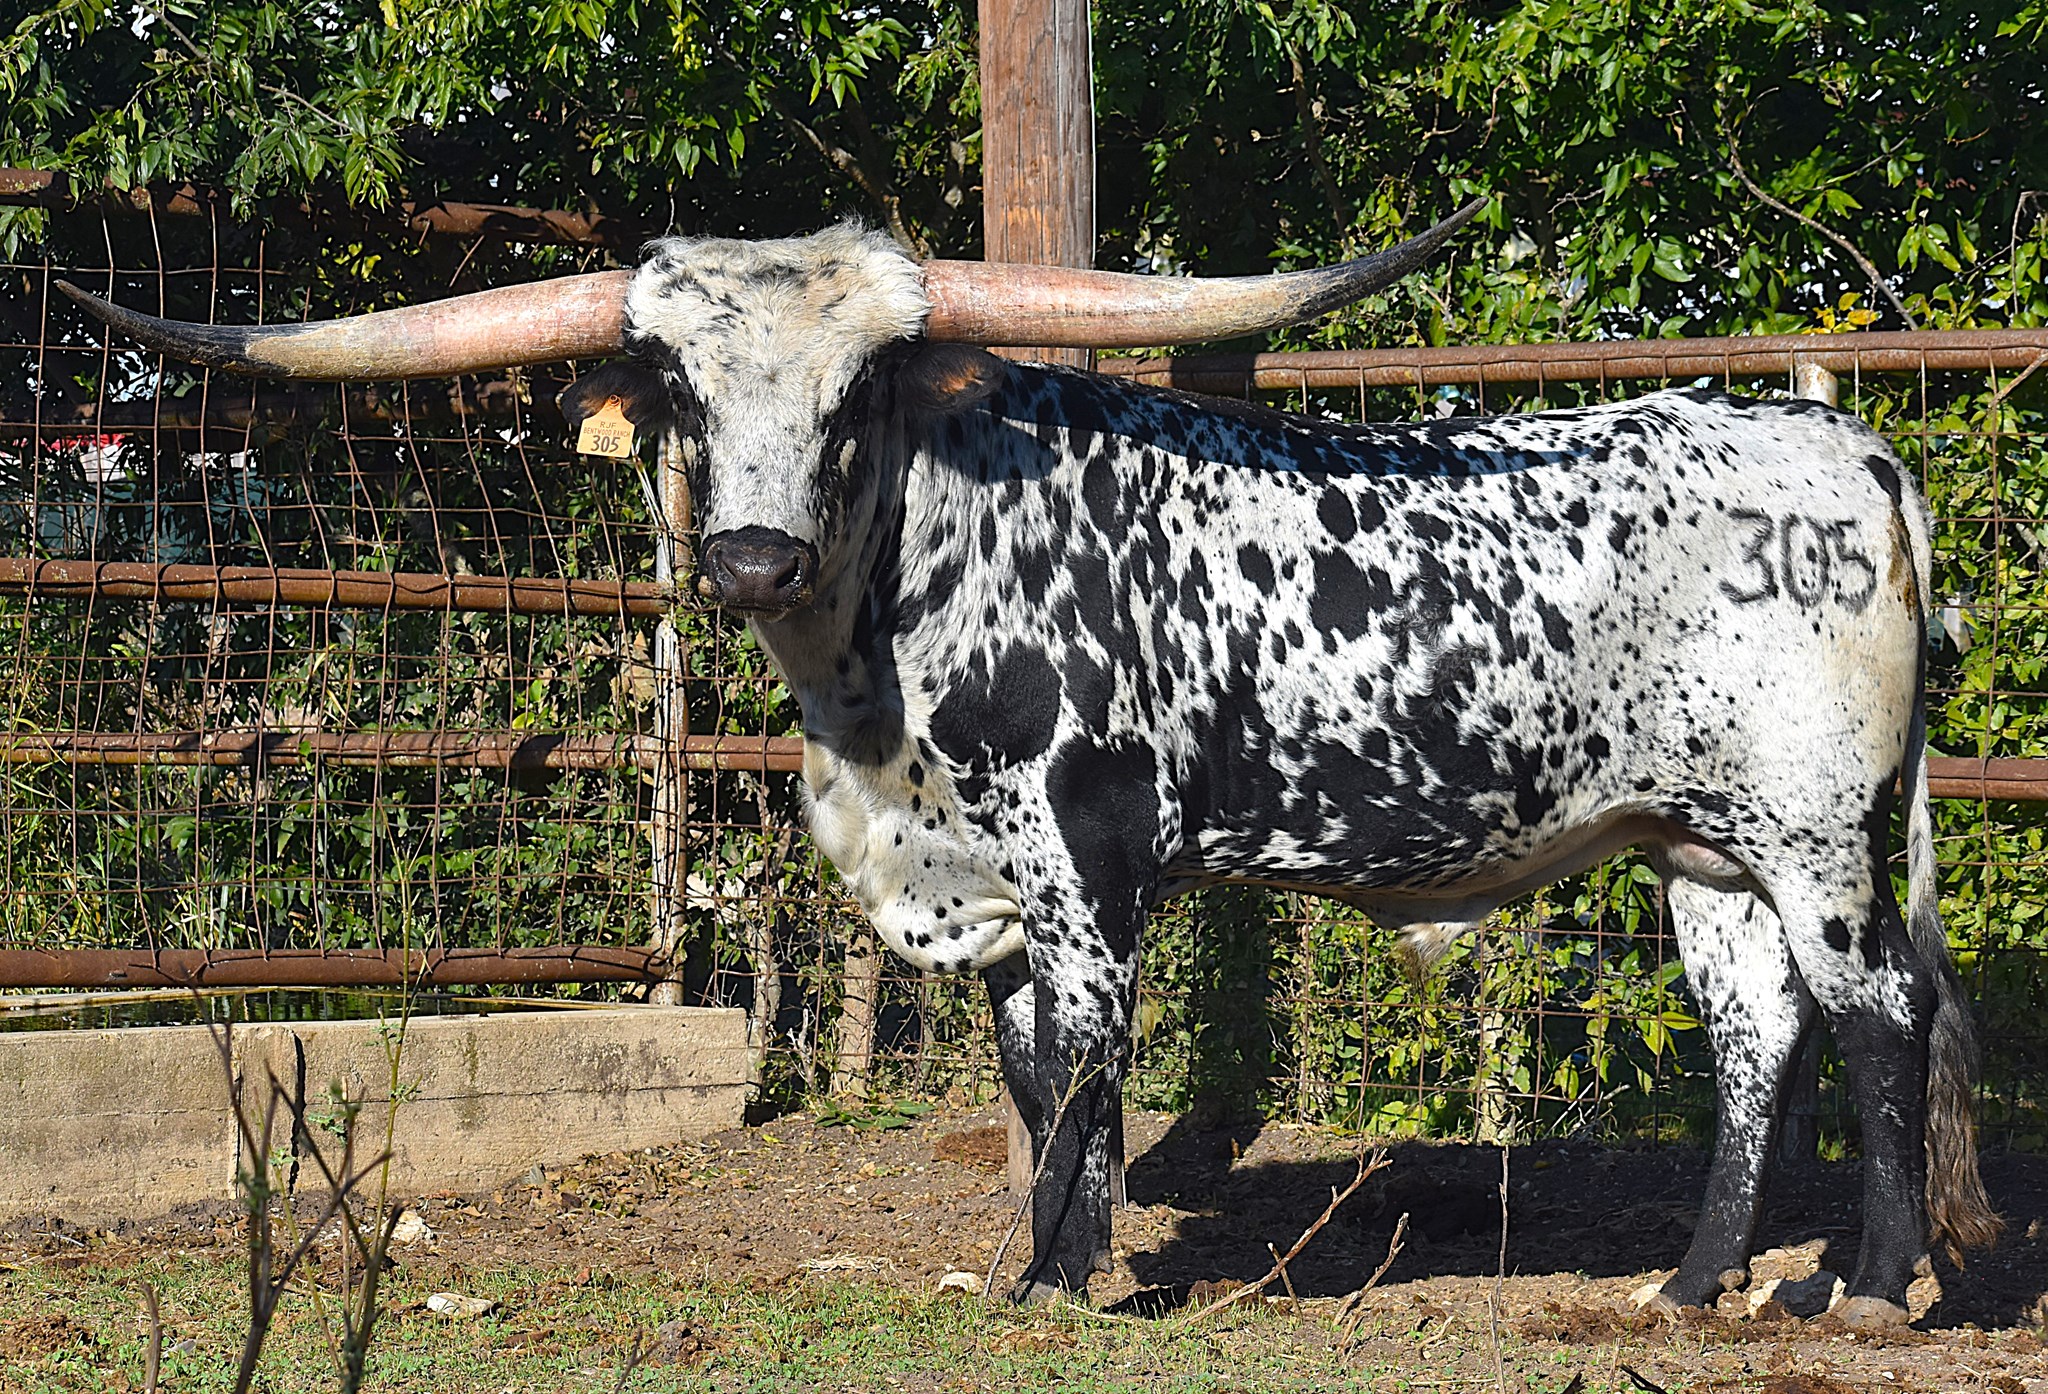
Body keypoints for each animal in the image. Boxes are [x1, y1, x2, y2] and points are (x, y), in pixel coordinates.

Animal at [60, 211, 2000, 1326]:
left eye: (862, 388)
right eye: (675, 386)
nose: (750, 554)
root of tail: (1838, 440)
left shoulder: (1088, 858)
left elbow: (1087, 1065)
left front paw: (1045, 1286)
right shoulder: (980, 885)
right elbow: (1023, 1072)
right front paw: (1055, 1262)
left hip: (1819, 833)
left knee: (1880, 1021)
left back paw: (1867, 1288)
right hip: (1700, 844)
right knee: (1759, 1035)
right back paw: (1694, 1280)